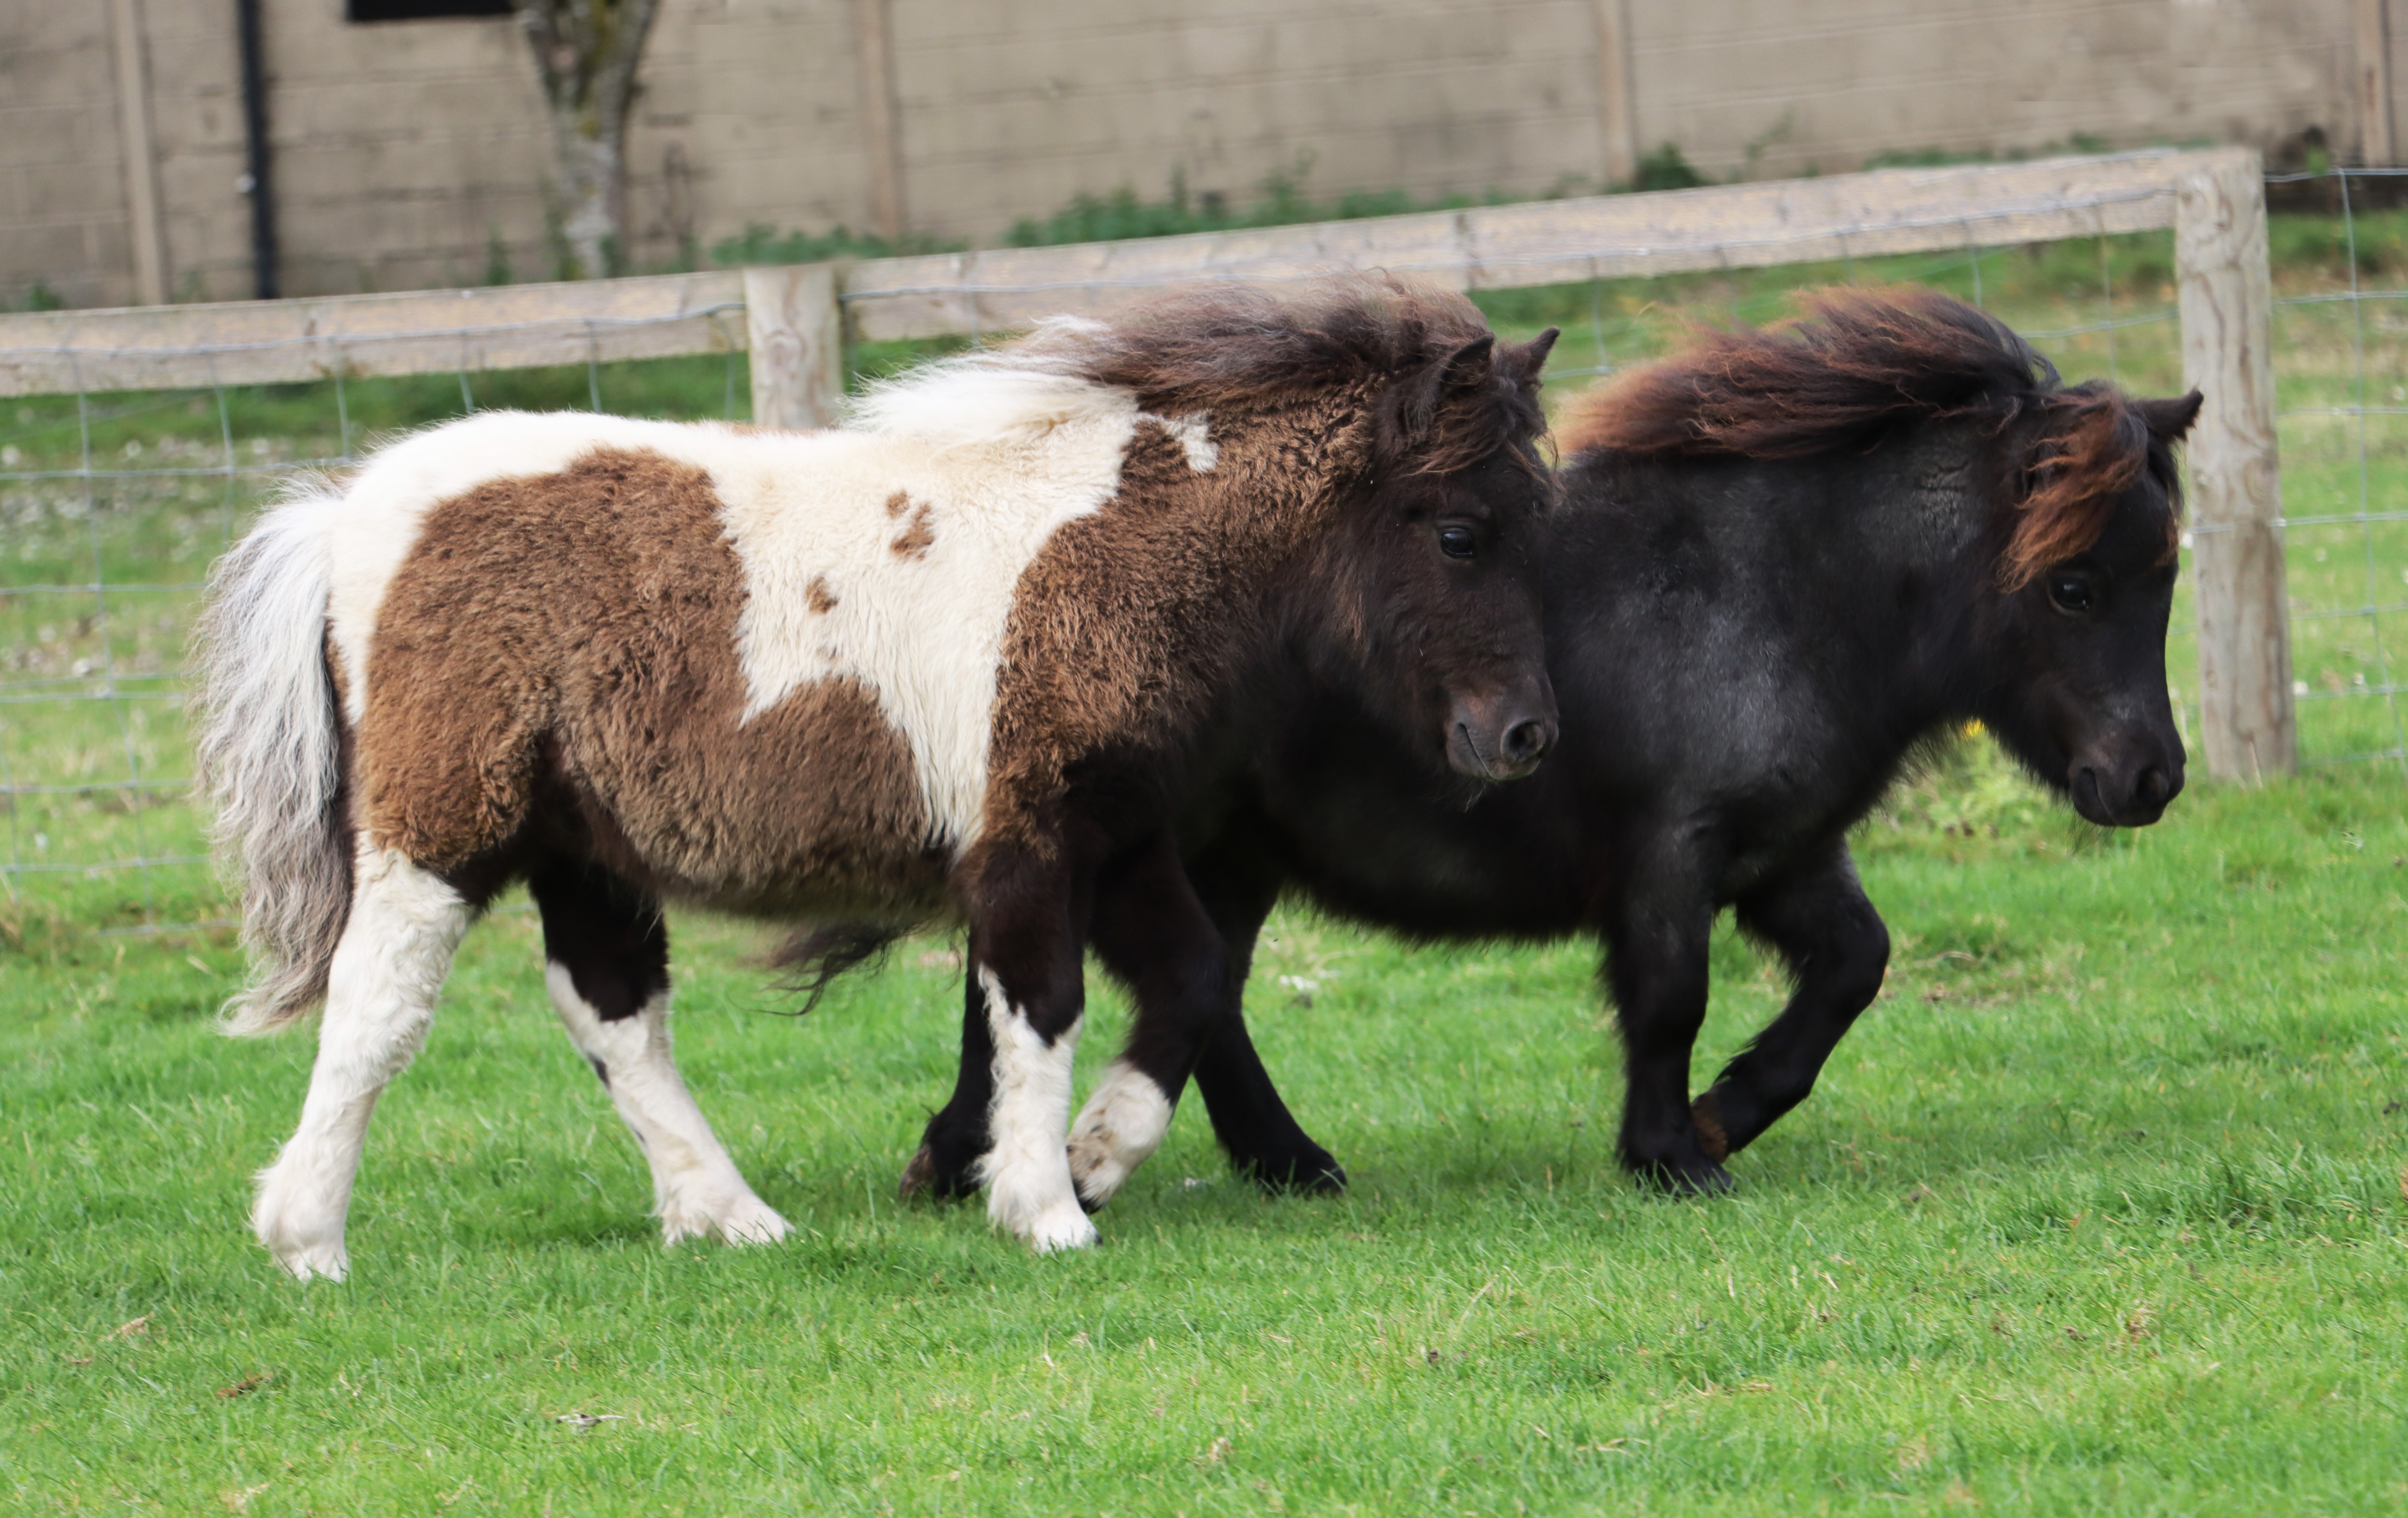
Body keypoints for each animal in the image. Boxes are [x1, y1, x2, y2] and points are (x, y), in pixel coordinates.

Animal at [202, 279, 1560, 1282]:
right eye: (1457, 530)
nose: (1526, 736)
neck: (1103, 547)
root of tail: (349, 514)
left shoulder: (1120, 829)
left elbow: (1186, 980)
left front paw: (1094, 1156)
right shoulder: (1028, 837)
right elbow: (1041, 1004)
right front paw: (1040, 1204)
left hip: (580, 850)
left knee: (615, 1013)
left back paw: (729, 1215)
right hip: (441, 829)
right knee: (379, 1006)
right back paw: (305, 1237)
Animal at [905, 288, 2206, 1214]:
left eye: (2165, 574)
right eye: (2073, 584)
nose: (2149, 778)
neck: (1764, 593)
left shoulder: (1786, 853)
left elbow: (1852, 967)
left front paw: (1724, 1114)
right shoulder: (1674, 854)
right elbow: (1670, 999)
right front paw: (1671, 1155)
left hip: (1227, 852)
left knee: (1197, 989)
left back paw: (1276, 1161)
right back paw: (981, 1158)